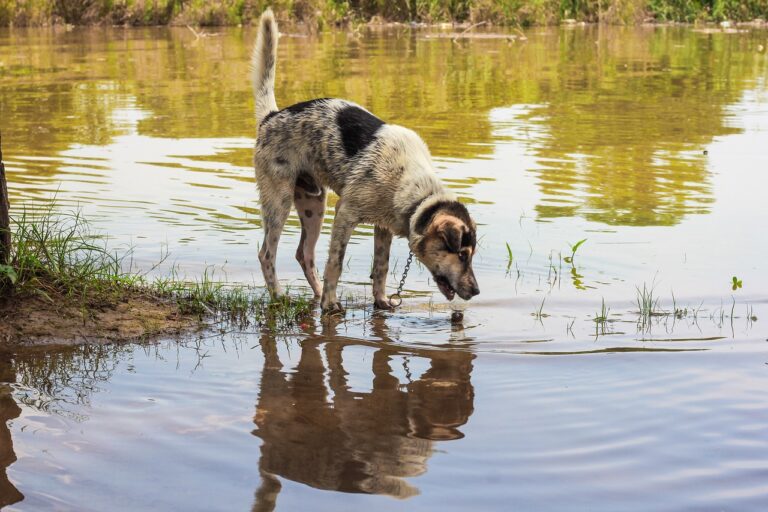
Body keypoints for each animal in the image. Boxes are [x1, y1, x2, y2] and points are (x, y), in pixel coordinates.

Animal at [252, 8, 480, 314]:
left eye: (471, 255)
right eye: (462, 255)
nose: (477, 291)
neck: (413, 187)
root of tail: (271, 117)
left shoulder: (383, 226)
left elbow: (381, 267)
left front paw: (381, 301)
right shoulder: (345, 213)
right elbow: (336, 262)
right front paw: (331, 304)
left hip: (313, 205)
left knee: (304, 254)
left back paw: (316, 294)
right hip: (279, 201)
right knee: (267, 253)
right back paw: (280, 296)